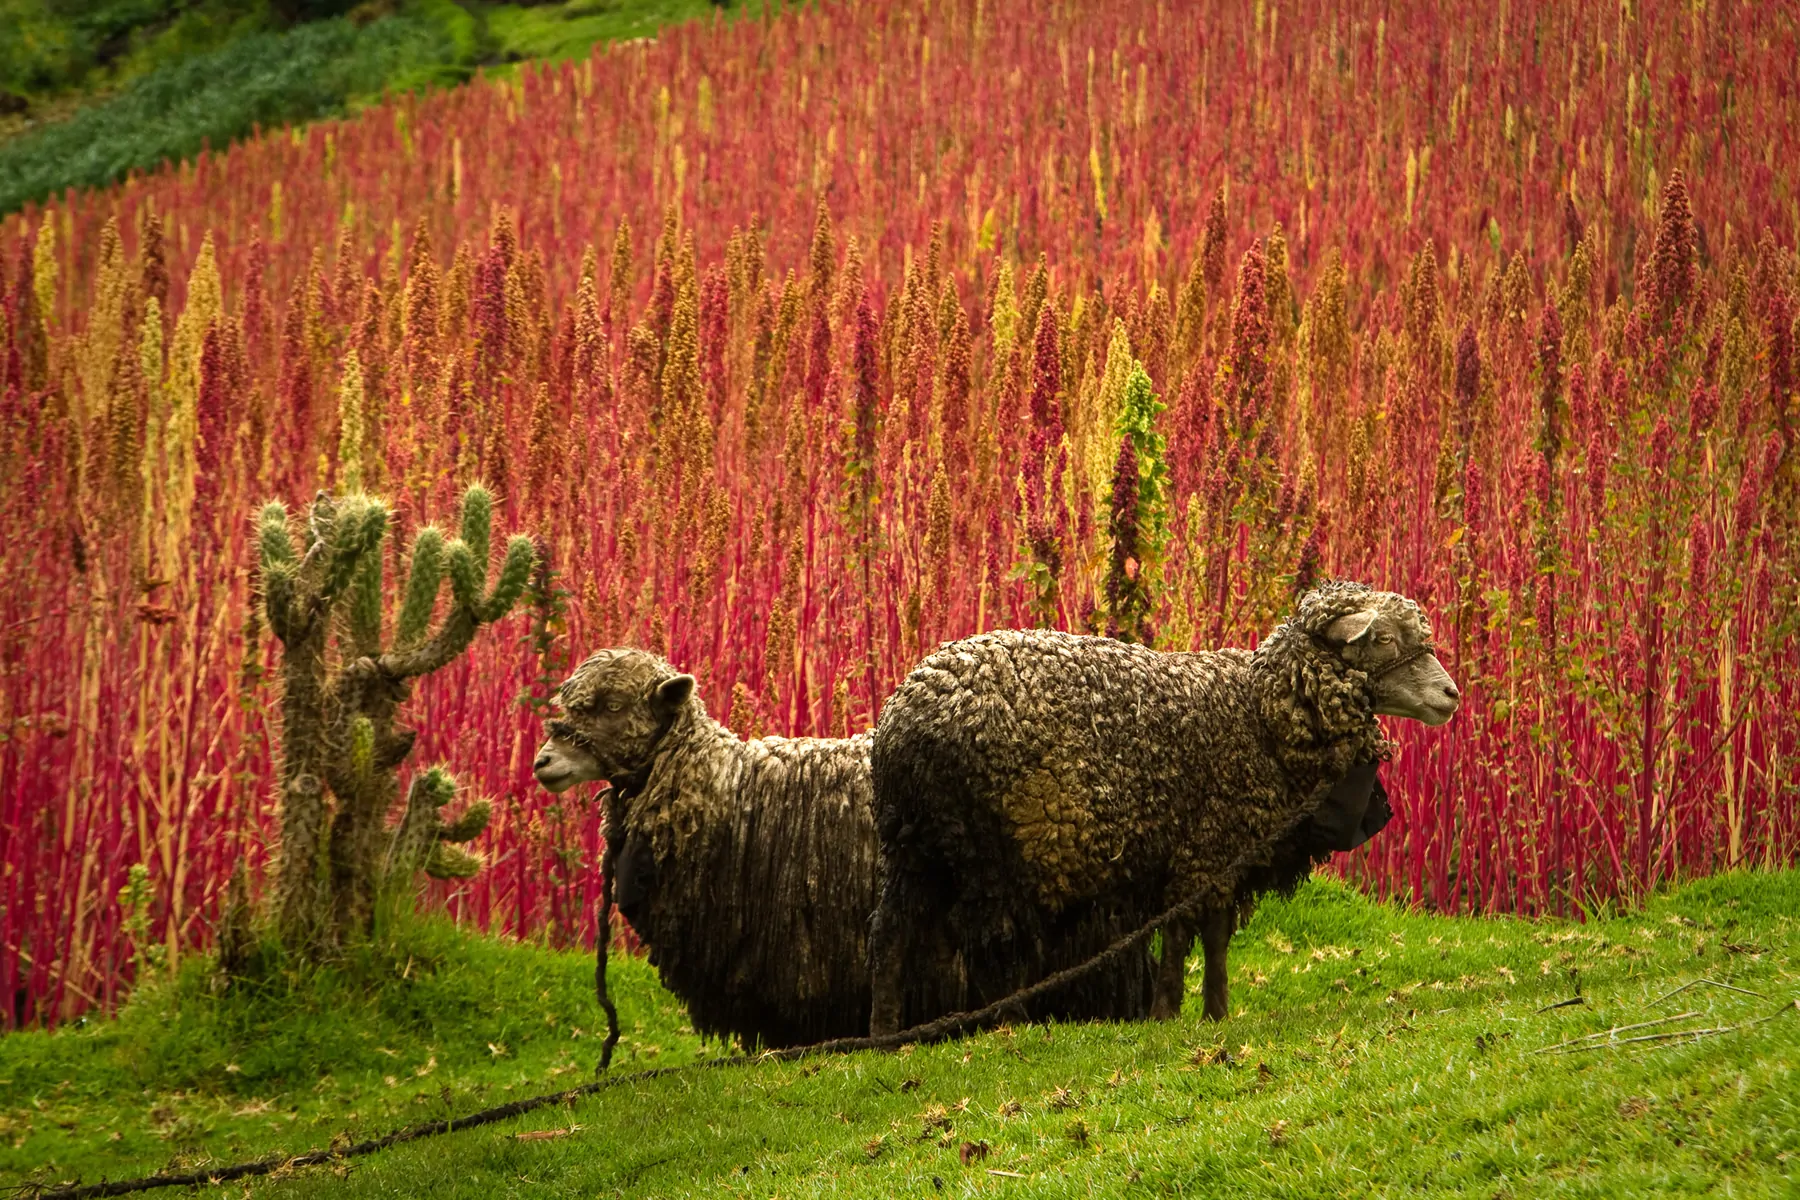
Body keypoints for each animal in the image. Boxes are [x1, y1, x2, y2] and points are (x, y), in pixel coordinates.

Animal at [867, 582, 1461, 1036]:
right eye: (1383, 638)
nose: (1451, 696)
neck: (1258, 711)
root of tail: (899, 723)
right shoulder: (1202, 846)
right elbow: (1179, 934)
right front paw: (1166, 1013)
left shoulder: (1226, 849)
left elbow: (1216, 937)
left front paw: (1217, 1012)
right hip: (987, 847)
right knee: (988, 940)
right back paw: (1008, 1022)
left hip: (915, 844)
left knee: (891, 932)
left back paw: (885, 1031)